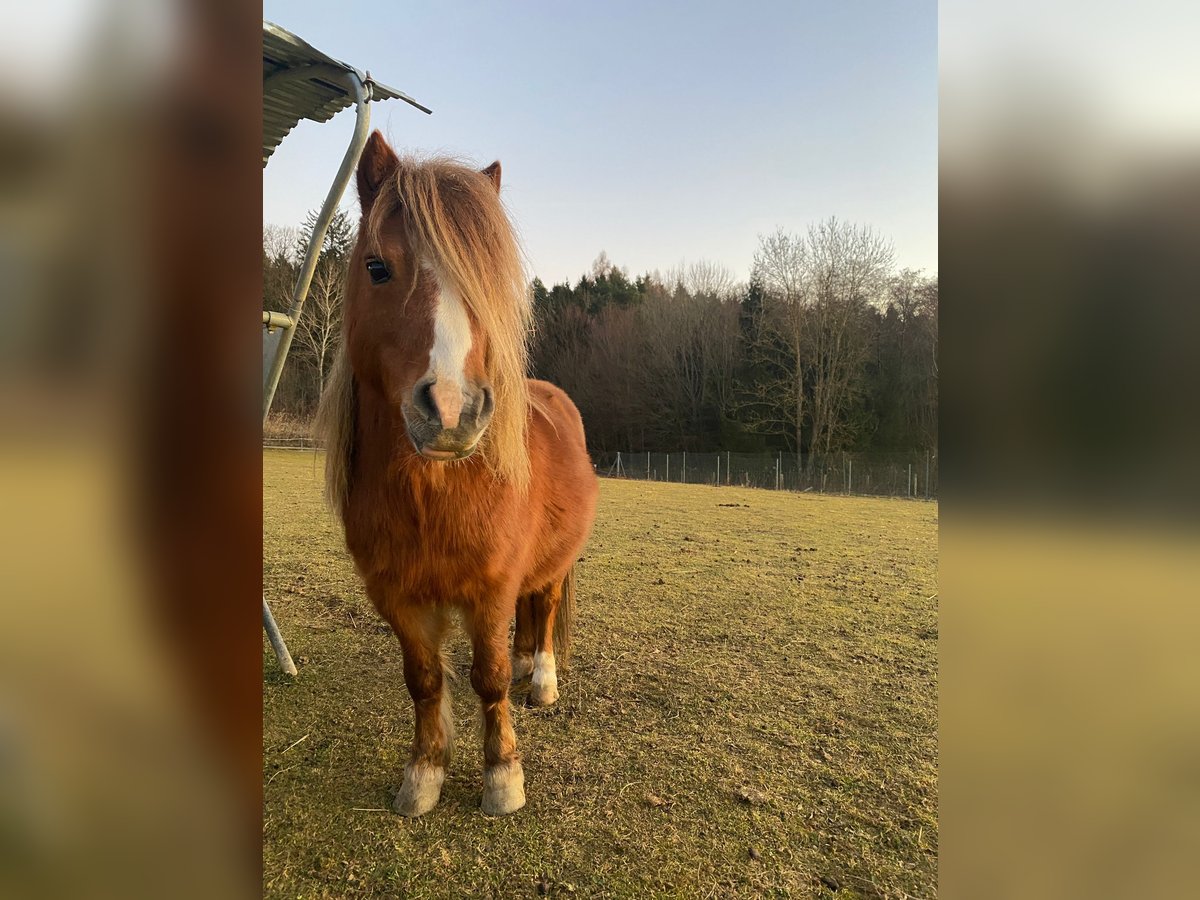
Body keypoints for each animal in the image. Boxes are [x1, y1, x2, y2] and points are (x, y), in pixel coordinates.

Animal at [316, 132, 600, 816]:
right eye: (377, 266)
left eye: (485, 280)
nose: (451, 410)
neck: (434, 494)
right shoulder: (397, 595)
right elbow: (424, 681)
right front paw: (424, 774)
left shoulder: (489, 589)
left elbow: (487, 678)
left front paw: (502, 776)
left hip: (556, 564)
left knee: (544, 606)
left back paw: (541, 678)